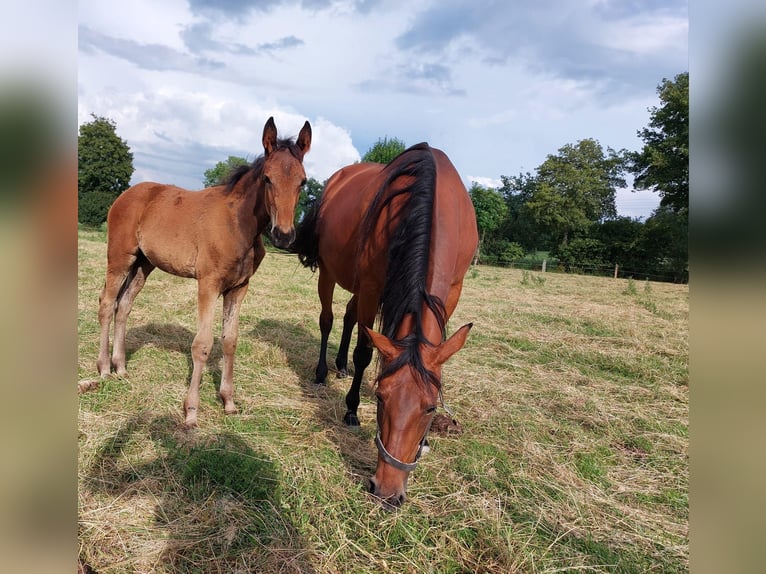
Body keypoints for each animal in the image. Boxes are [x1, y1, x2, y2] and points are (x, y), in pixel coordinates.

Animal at [96, 117, 312, 428]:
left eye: (302, 181)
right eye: (267, 178)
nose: (283, 236)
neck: (239, 225)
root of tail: (126, 194)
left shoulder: (239, 288)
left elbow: (230, 341)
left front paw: (229, 402)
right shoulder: (208, 285)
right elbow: (203, 344)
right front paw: (191, 411)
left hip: (143, 264)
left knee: (123, 305)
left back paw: (121, 367)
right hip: (120, 257)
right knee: (106, 303)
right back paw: (103, 368)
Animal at [292, 142, 478, 507]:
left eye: (430, 407)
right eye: (379, 399)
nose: (387, 491)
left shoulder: (452, 292)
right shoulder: (372, 285)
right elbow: (365, 352)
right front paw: (351, 409)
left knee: (348, 317)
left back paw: (340, 367)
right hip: (331, 273)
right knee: (328, 319)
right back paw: (323, 373)